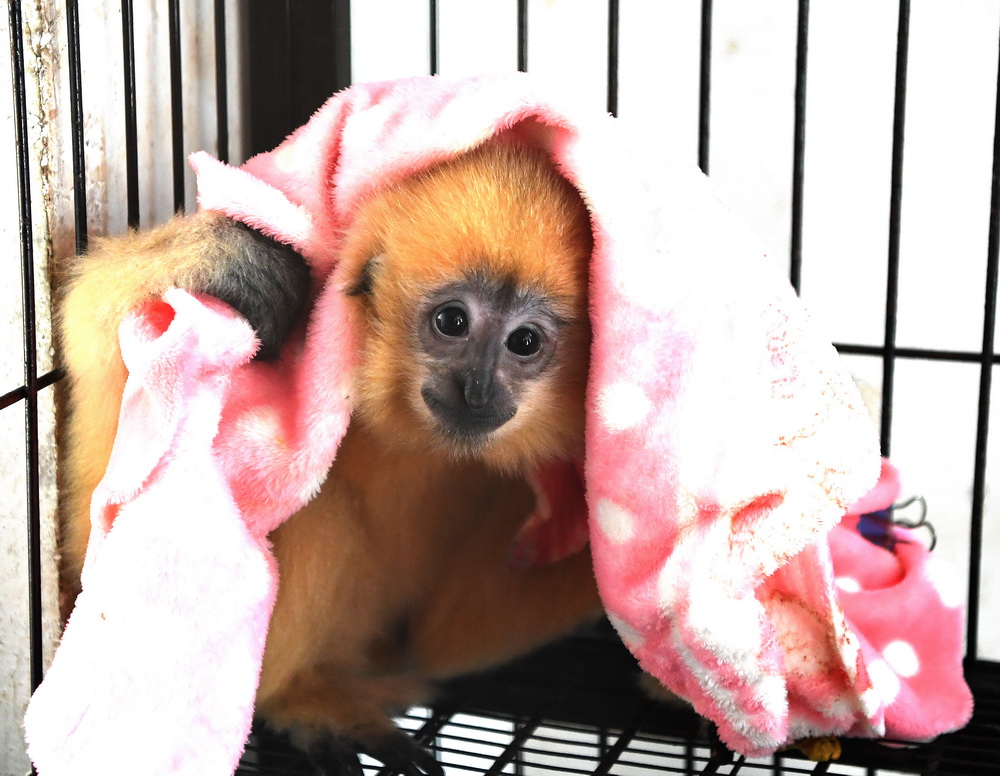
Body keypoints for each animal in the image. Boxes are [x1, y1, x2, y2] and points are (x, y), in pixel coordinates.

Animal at [58, 140, 603, 775]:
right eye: (452, 322)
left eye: (524, 342)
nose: (478, 389)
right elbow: (98, 548)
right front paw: (213, 257)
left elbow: (443, 639)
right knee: (319, 506)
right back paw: (300, 701)